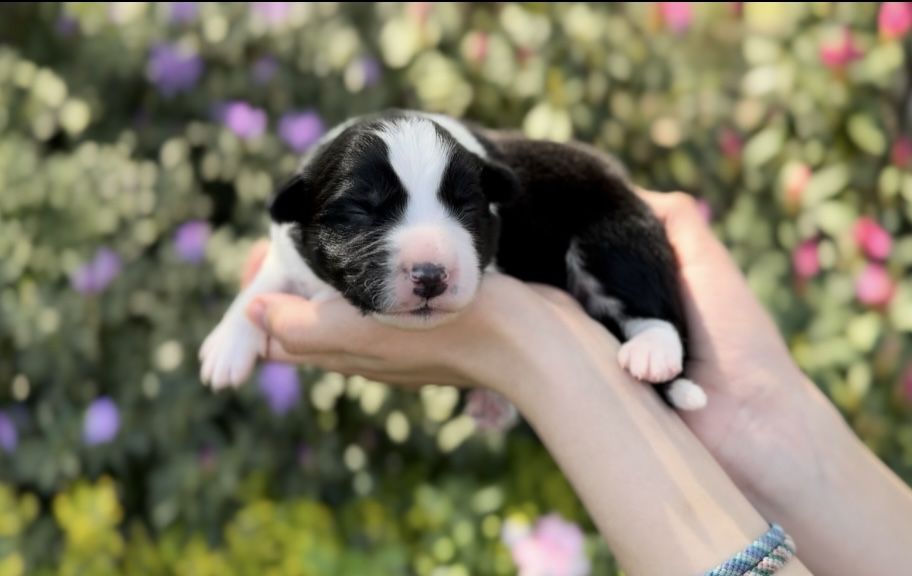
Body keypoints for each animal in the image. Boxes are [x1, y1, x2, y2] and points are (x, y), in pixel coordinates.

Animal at [200, 110, 708, 412]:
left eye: (465, 206)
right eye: (362, 209)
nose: (430, 275)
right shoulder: (288, 252)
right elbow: (262, 285)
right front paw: (227, 343)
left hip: (614, 237)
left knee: (656, 308)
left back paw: (652, 353)